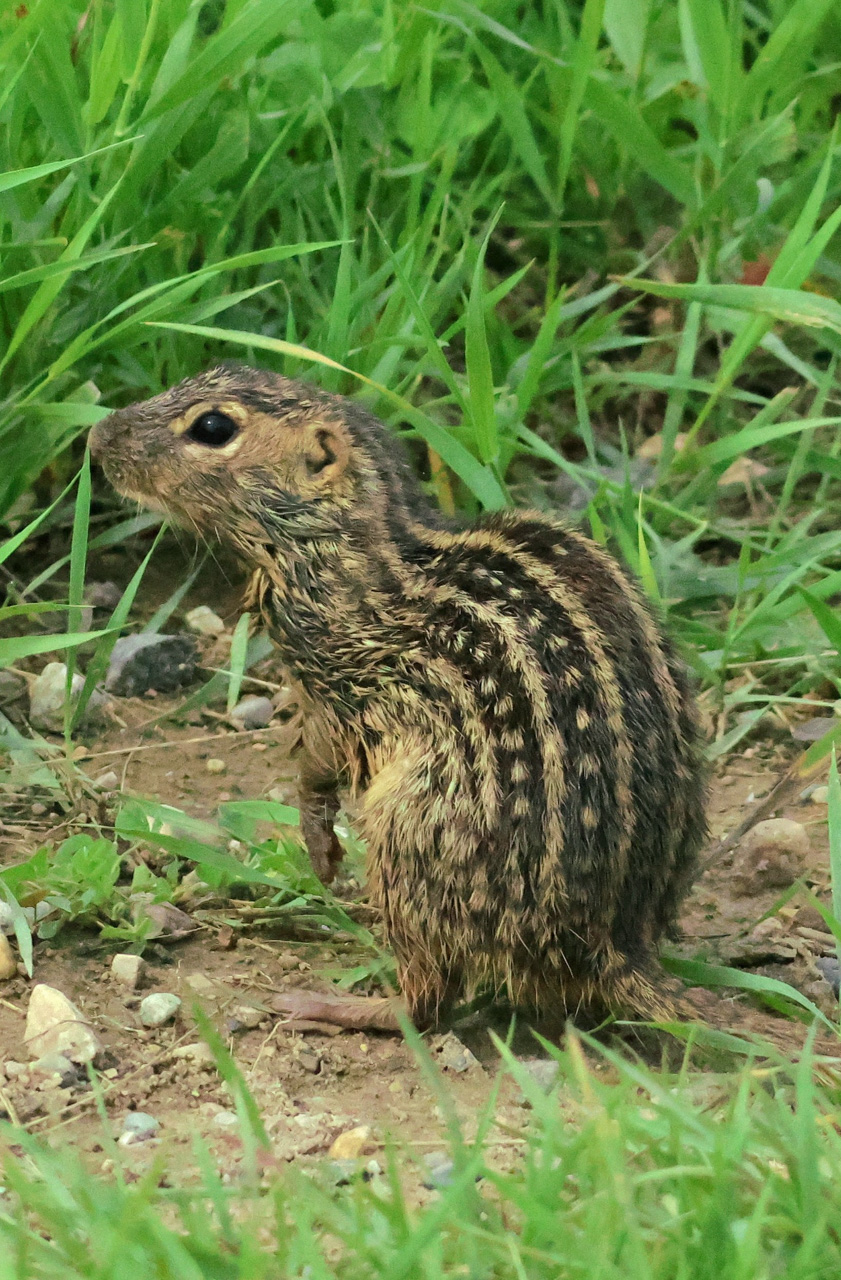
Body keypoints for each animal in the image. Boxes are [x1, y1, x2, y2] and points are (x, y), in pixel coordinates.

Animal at [90, 364, 707, 1027]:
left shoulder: (340, 684)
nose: (98, 436)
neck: (345, 546)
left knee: (426, 1000)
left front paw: (319, 850)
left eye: (212, 427)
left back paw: (327, 1004)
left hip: (406, 832)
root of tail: (615, 945)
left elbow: (317, 763)